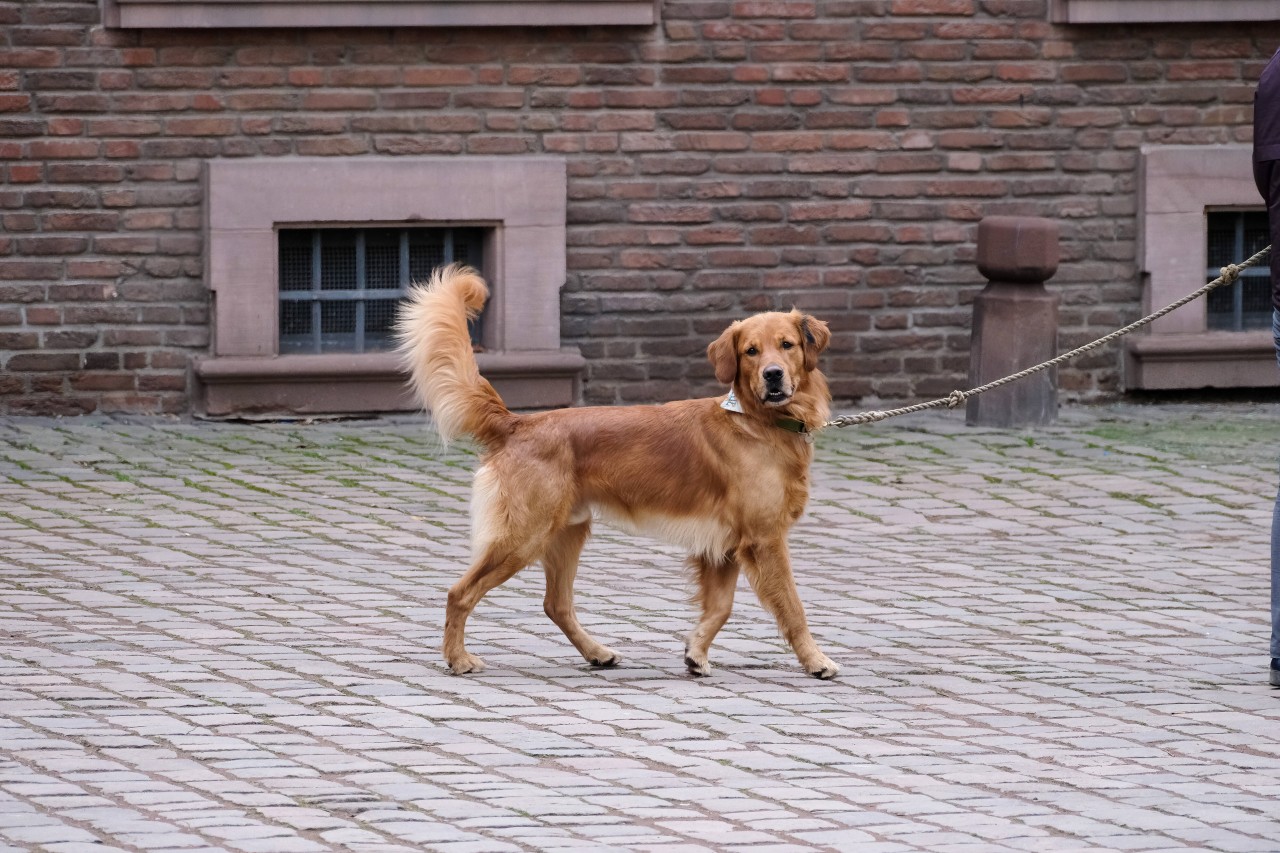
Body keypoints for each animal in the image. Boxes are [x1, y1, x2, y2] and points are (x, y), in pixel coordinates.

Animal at [399, 263, 839, 676]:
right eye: (751, 351)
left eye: (787, 345)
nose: (773, 375)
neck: (757, 422)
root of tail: (517, 423)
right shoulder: (764, 539)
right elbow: (793, 608)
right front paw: (816, 661)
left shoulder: (723, 547)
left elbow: (720, 608)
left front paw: (695, 653)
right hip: (523, 537)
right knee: (460, 593)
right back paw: (458, 659)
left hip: (567, 534)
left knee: (555, 604)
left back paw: (596, 652)